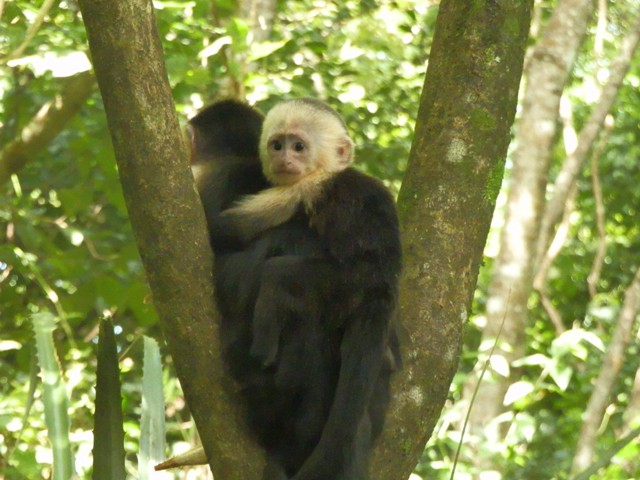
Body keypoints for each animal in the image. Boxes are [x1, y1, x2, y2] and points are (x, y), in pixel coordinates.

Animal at [189, 98, 400, 480]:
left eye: (298, 146)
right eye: (277, 145)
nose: (284, 159)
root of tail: (382, 283)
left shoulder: (308, 187)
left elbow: (223, 231)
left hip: (342, 283)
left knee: (278, 274)